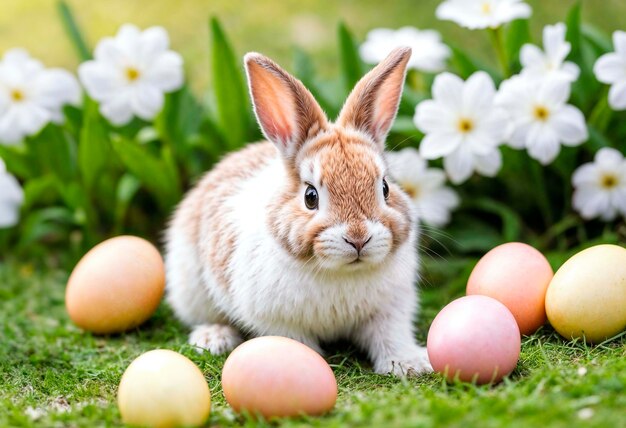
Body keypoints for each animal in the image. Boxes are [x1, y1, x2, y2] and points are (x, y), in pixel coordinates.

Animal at [163, 45, 432, 376]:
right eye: (310, 196)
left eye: (384, 188)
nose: (358, 238)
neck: (340, 272)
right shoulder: (277, 320)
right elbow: (297, 341)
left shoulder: (391, 309)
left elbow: (390, 337)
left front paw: (410, 364)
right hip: (190, 287)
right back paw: (214, 337)